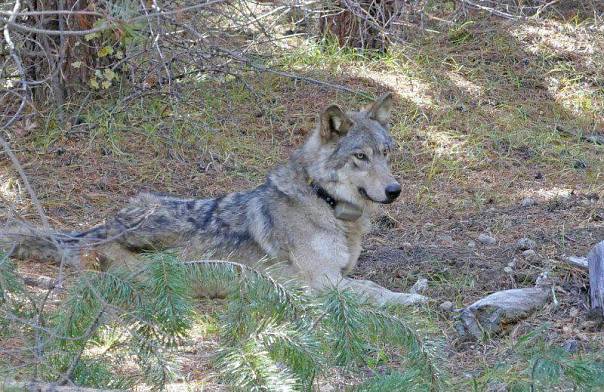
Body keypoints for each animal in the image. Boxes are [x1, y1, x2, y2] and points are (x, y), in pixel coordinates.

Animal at [4, 94, 430, 306]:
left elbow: (369, 281)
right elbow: (374, 291)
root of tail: (100, 228)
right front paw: (410, 299)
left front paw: (416, 288)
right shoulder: (324, 283)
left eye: (386, 153)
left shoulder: (339, 274)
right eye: (361, 157)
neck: (324, 202)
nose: (395, 190)